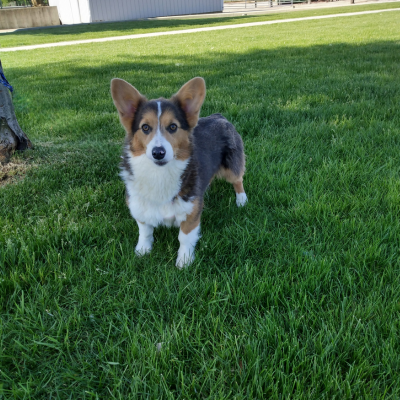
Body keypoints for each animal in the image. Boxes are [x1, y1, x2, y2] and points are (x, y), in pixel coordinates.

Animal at [110, 76, 247, 268]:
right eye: (145, 128)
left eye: (173, 127)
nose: (158, 152)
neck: (159, 174)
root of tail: (219, 116)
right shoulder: (139, 207)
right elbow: (145, 231)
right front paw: (142, 251)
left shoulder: (191, 214)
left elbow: (185, 237)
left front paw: (184, 261)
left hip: (231, 166)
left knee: (238, 179)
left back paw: (241, 200)